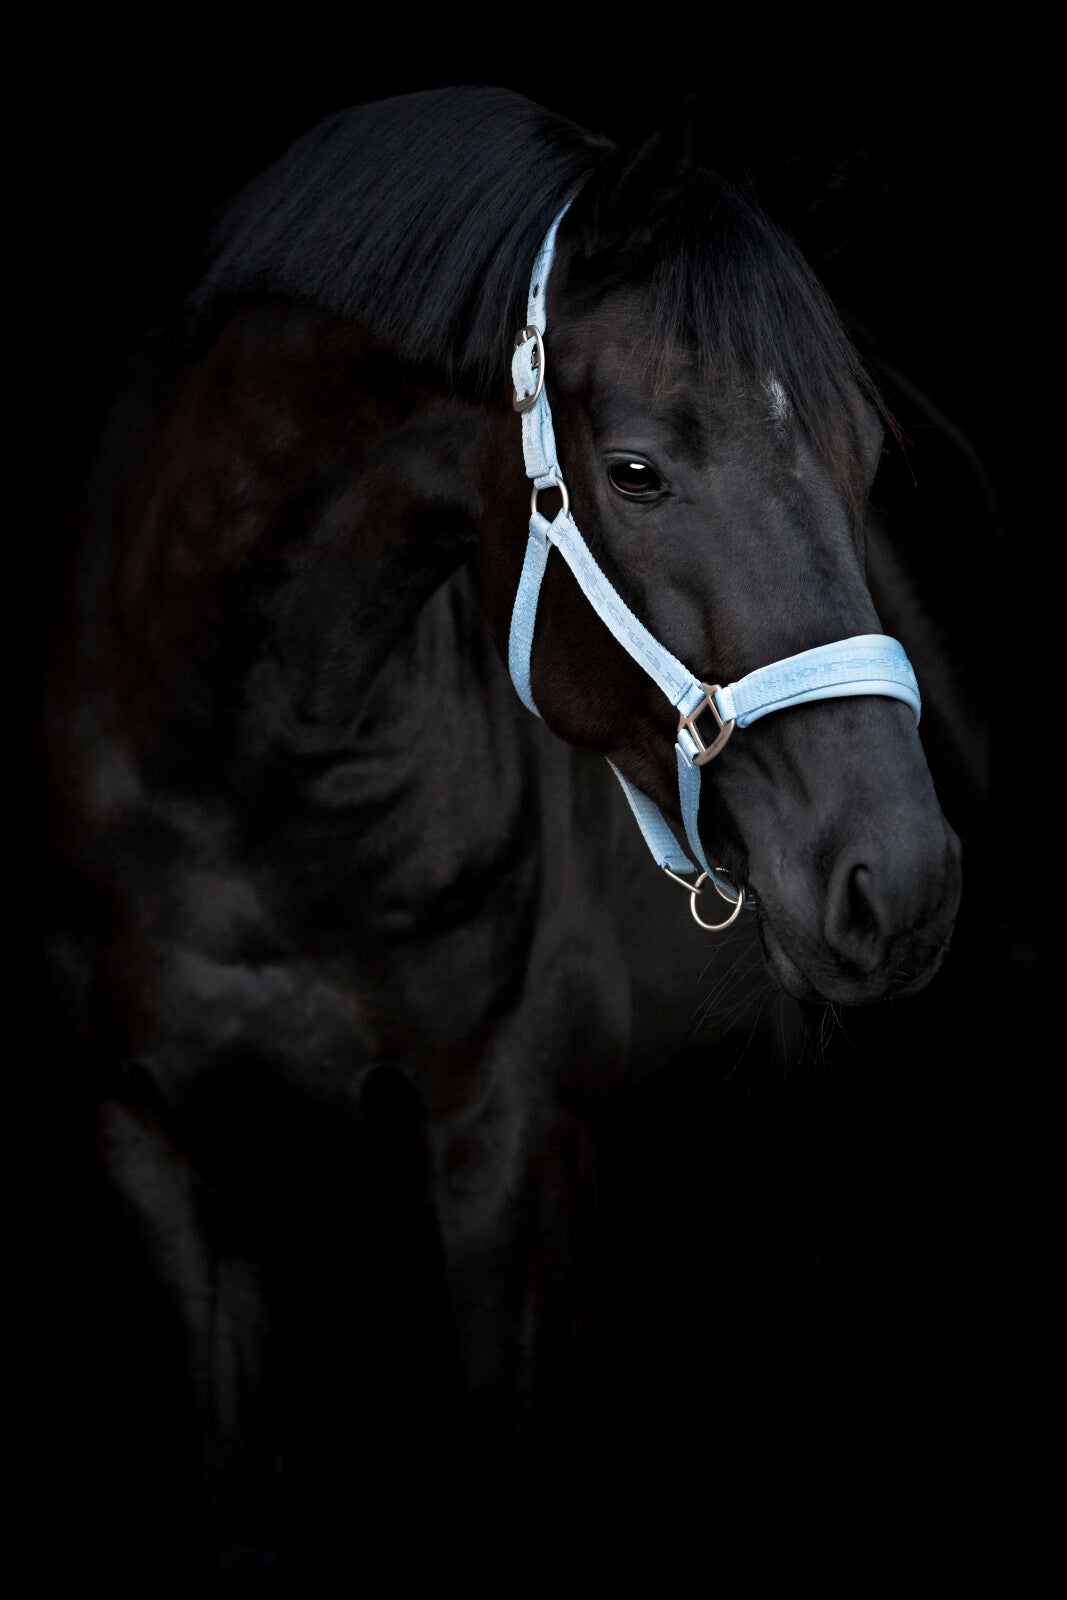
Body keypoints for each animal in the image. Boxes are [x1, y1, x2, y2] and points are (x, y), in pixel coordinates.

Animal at [39, 87, 992, 1584]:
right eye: (636, 470)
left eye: (865, 455)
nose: (895, 885)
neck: (241, 774)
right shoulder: (162, 1156)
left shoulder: (516, 1161)